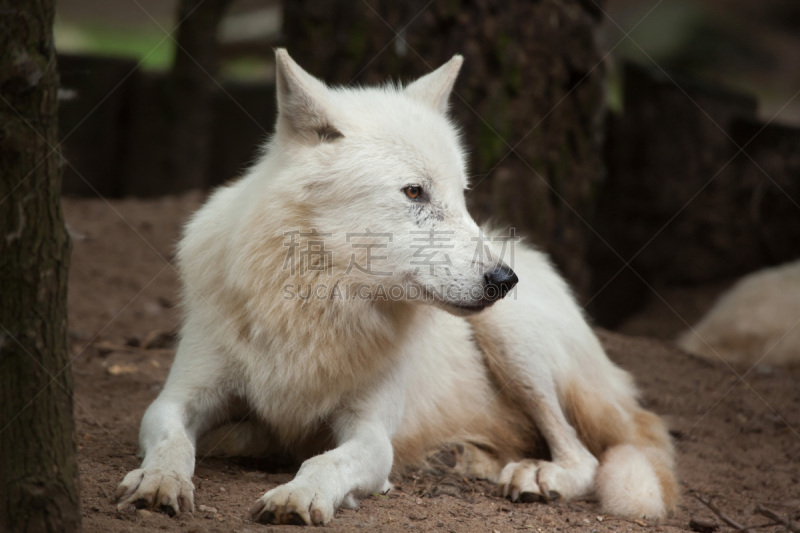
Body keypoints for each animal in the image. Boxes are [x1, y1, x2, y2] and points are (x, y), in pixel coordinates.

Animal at [114, 48, 676, 524]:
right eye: (414, 192)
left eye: (462, 195)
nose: (504, 279)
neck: (318, 302)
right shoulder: (178, 397)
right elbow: (173, 442)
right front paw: (158, 482)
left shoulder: (371, 432)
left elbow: (325, 461)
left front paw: (300, 495)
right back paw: (462, 458)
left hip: (512, 340)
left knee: (585, 455)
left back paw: (537, 476)